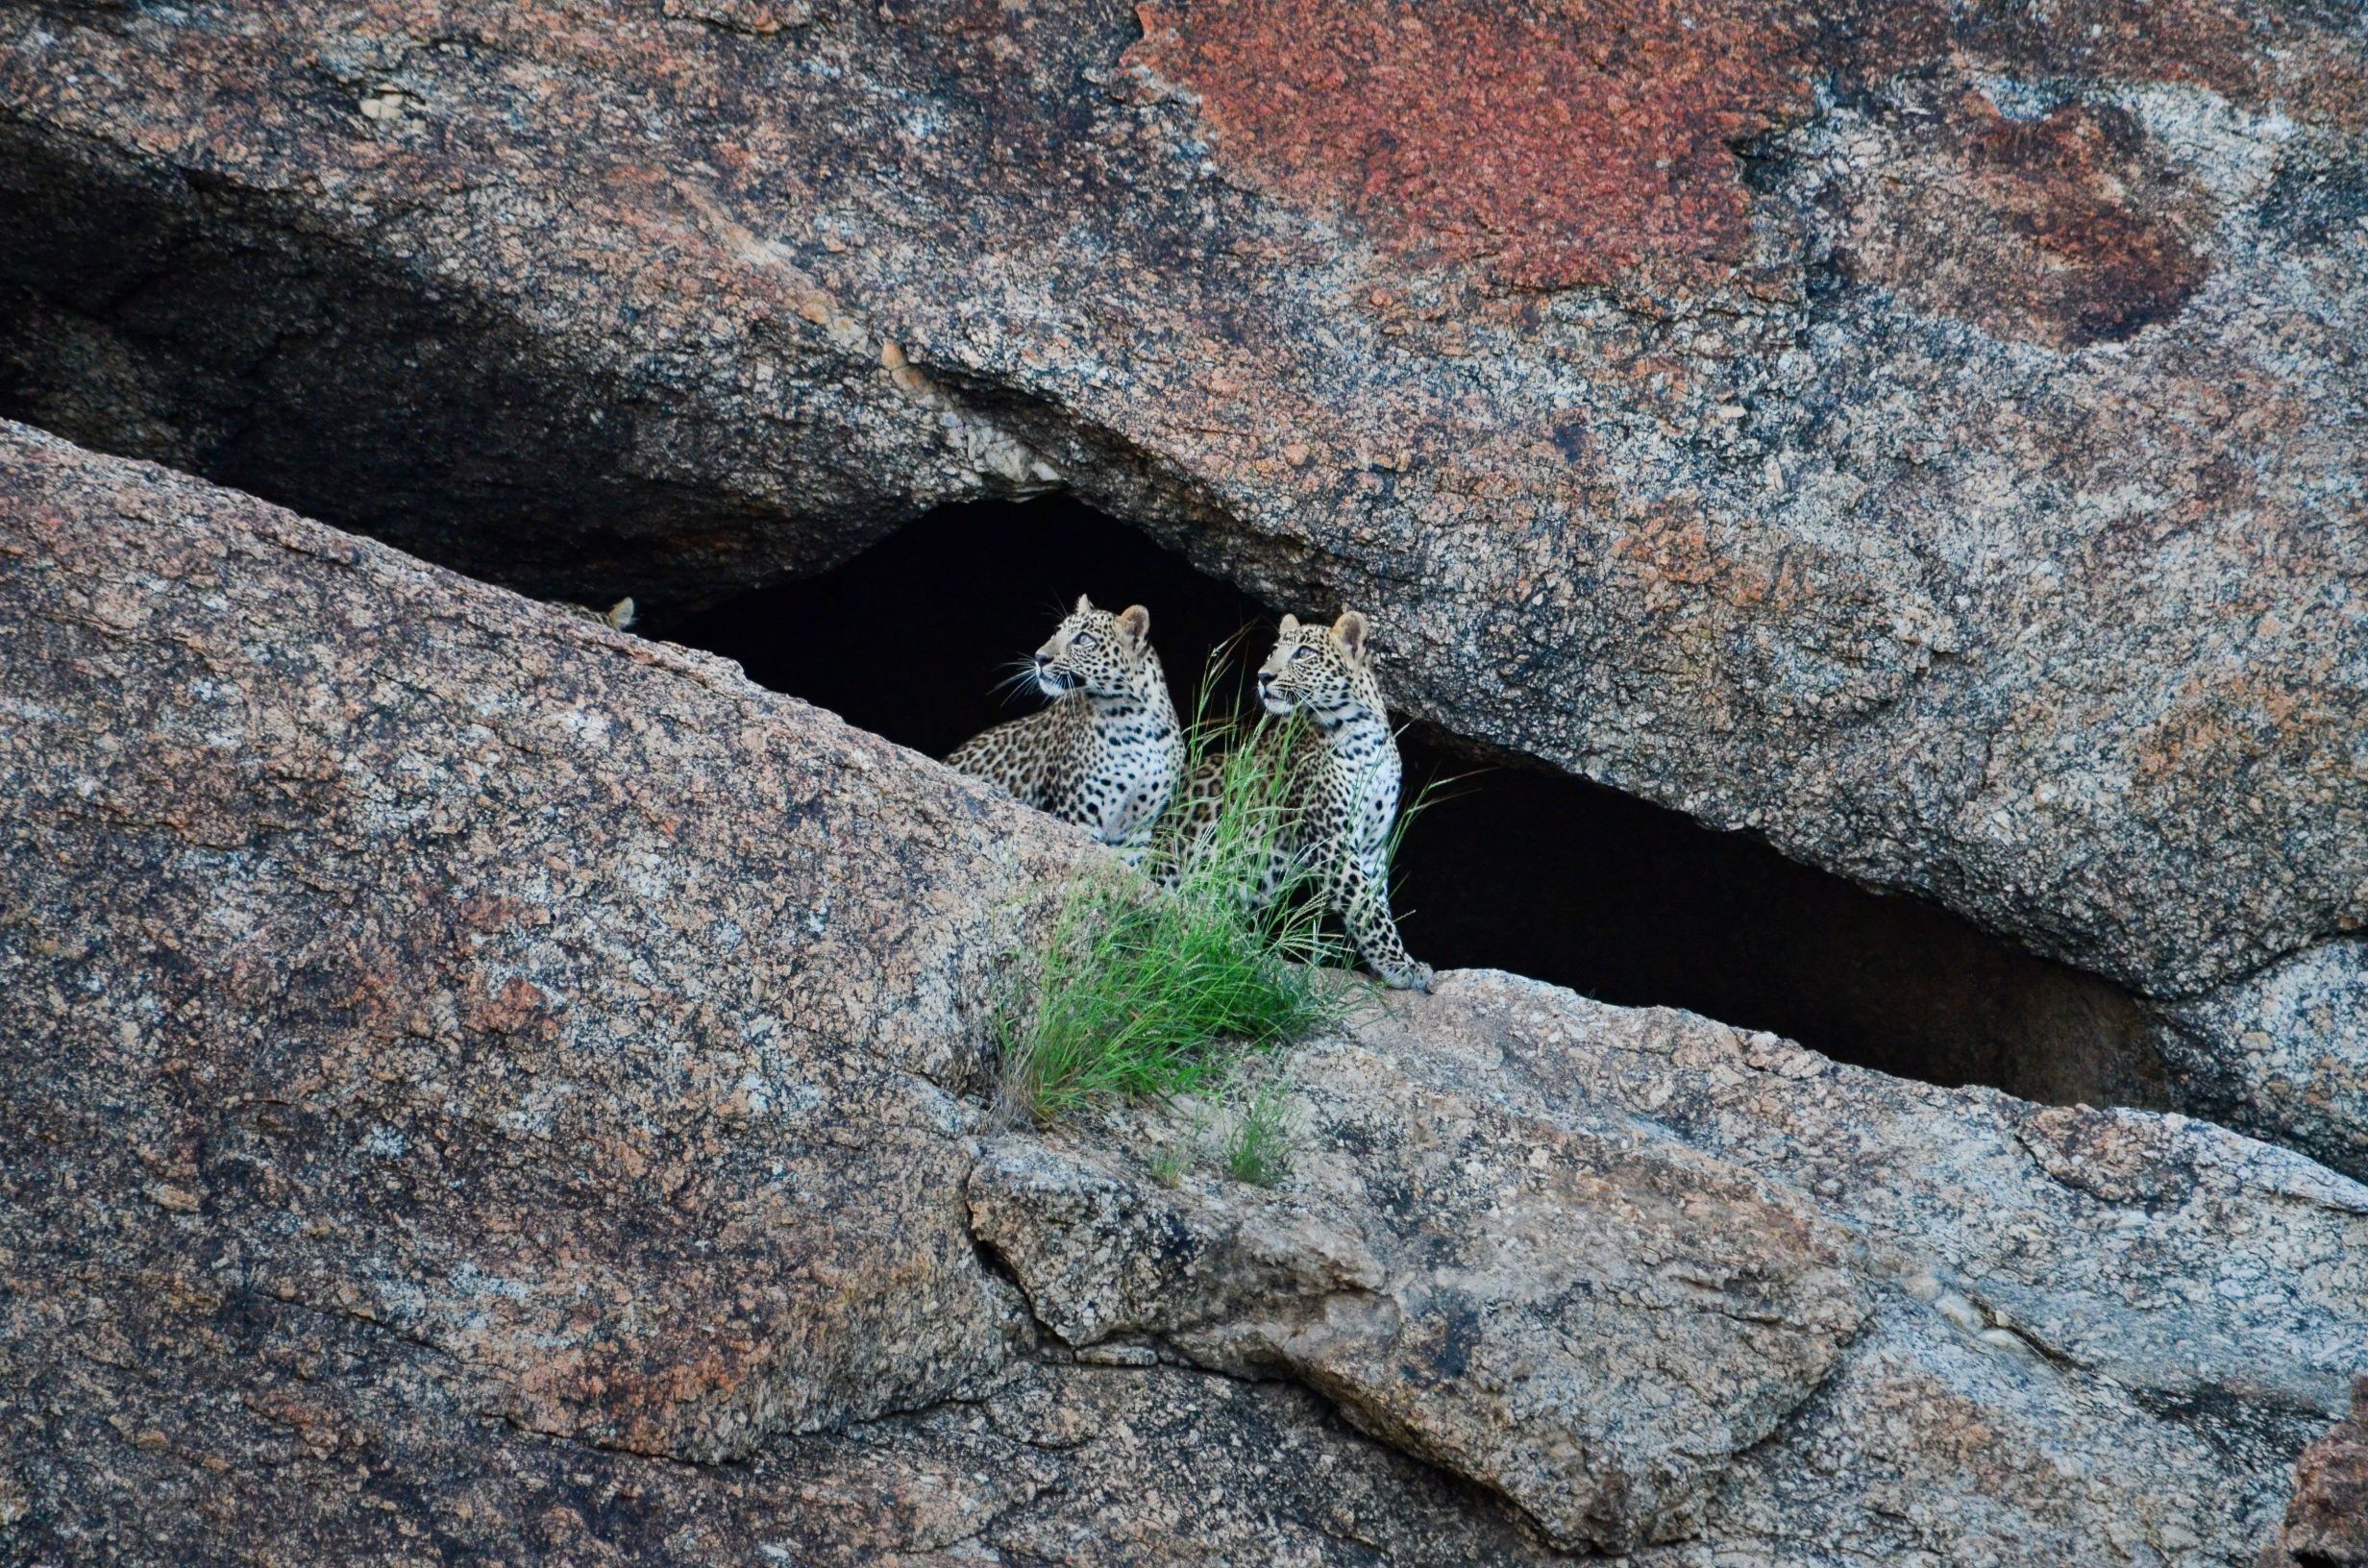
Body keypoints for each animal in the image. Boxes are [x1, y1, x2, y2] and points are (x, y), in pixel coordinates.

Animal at [947, 595, 1183, 869]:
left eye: (1083, 639)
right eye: (1057, 631)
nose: (1039, 657)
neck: (1135, 718)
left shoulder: (1136, 831)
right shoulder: (1078, 815)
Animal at [1169, 609, 1432, 992]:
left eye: (1304, 653)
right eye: (1273, 651)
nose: (1263, 676)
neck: (1364, 732)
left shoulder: (1372, 846)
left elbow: (1376, 903)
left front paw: (1386, 964)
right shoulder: (1331, 840)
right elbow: (1366, 909)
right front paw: (1402, 966)